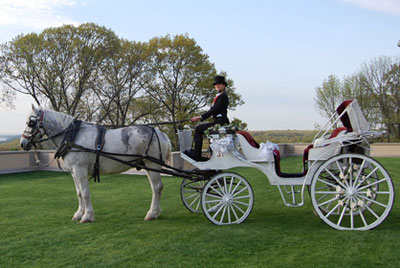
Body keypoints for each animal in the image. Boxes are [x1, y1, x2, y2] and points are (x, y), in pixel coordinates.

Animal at [20, 105, 170, 223]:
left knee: (157, 187)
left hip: (153, 165)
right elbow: (79, 193)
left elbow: (85, 192)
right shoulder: (74, 172)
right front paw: (78, 214)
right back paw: (156, 212)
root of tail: (160, 133)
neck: (72, 137)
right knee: (155, 188)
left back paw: (152, 213)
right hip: (148, 166)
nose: (22, 143)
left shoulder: (80, 170)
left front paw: (87, 216)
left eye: (31, 123)